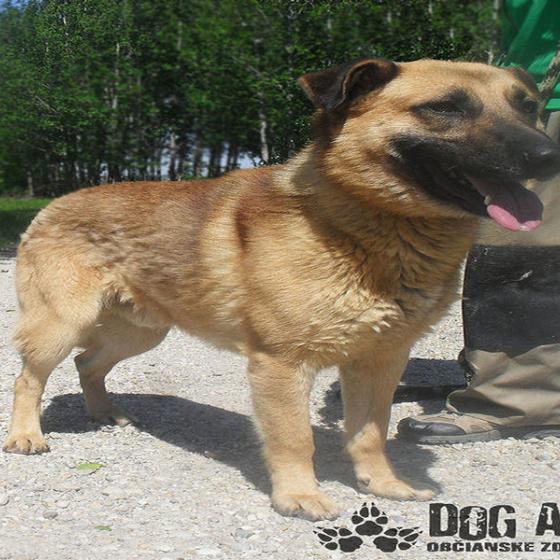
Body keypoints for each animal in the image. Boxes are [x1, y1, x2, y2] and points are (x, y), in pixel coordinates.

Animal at [4, 58, 560, 520]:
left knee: (87, 364)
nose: (549, 153)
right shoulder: (283, 365)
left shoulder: (380, 361)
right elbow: (295, 439)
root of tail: (55, 202)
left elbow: (370, 433)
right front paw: (299, 496)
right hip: (61, 325)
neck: (367, 229)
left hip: (141, 331)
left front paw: (383, 486)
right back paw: (27, 435)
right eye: (444, 108)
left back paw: (104, 412)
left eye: (527, 106)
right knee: (29, 379)